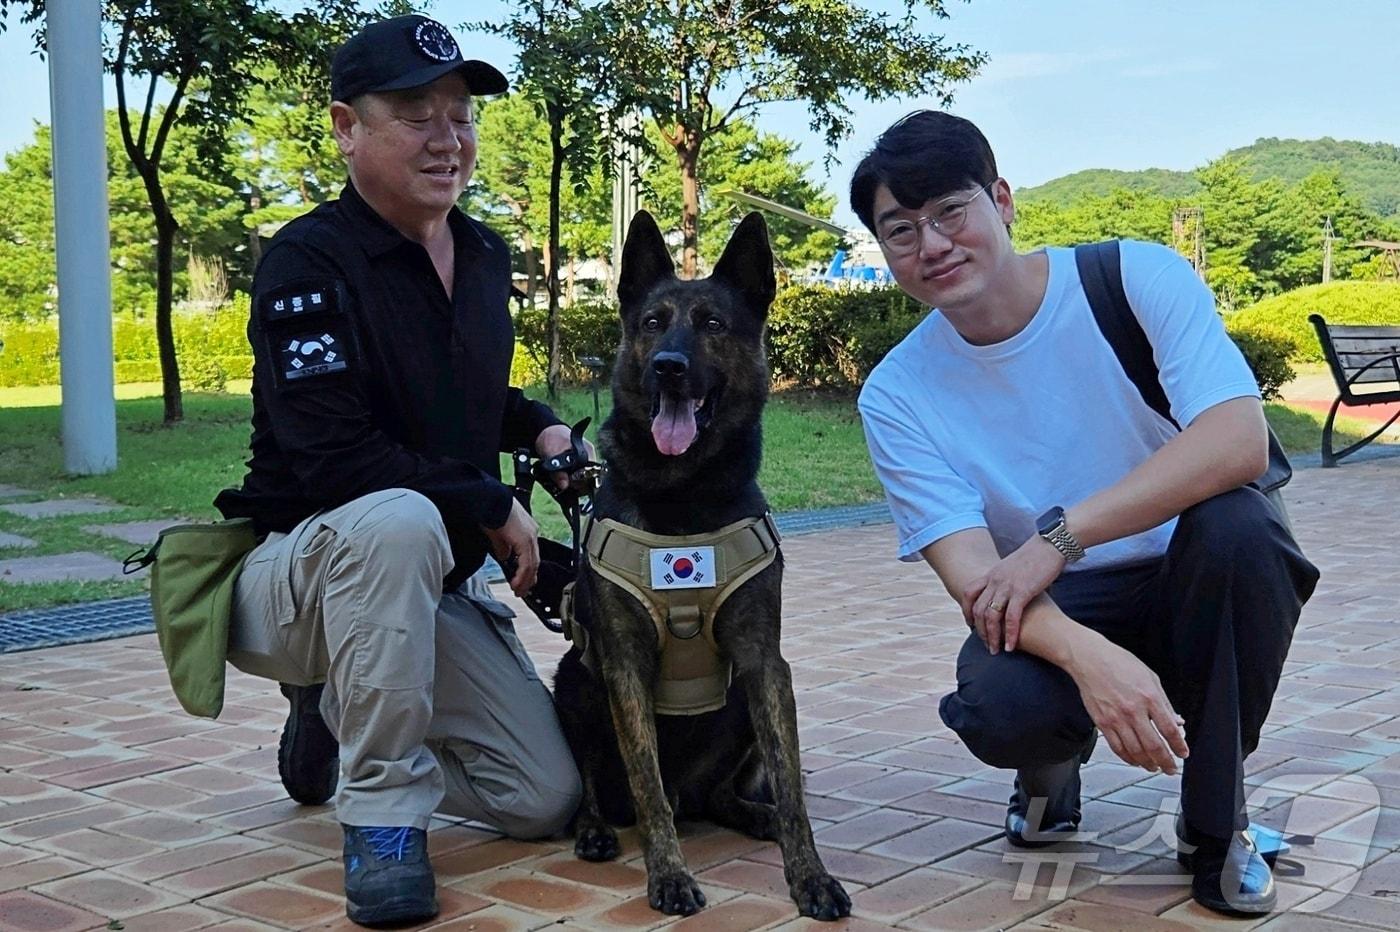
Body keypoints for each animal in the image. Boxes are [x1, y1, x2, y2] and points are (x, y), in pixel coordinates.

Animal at [551, 212, 845, 923]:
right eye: (653, 322)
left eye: (712, 323)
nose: (668, 368)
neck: (681, 497)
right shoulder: (623, 666)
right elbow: (646, 786)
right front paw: (668, 875)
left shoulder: (766, 663)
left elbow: (792, 788)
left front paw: (809, 875)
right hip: (575, 684)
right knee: (607, 792)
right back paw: (596, 828)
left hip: (741, 697)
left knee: (721, 796)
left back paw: (753, 811)